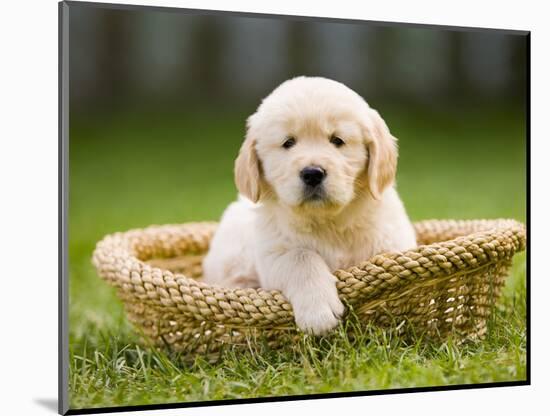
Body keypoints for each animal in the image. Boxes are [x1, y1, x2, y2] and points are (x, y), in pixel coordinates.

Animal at [205, 75, 416, 334]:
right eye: (288, 143)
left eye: (337, 140)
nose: (313, 173)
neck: (328, 222)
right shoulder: (273, 253)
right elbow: (301, 257)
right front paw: (319, 311)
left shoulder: (392, 240)